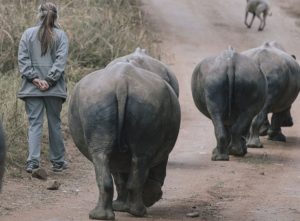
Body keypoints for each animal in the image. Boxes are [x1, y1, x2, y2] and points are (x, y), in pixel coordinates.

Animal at [68, 49, 180, 219]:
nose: (153, 198)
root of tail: (121, 82)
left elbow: (121, 175)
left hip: (103, 100)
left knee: (104, 156)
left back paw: (106, 214)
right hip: (123, 100)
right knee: (132, 158)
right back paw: (133, 212)